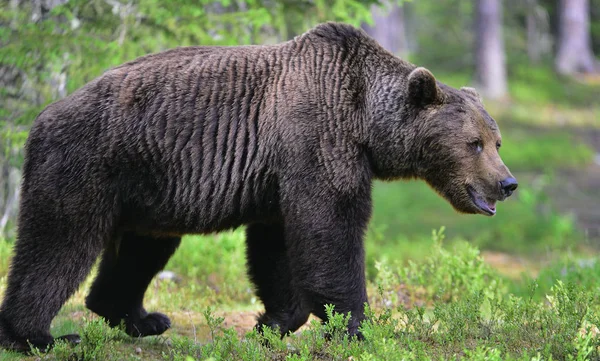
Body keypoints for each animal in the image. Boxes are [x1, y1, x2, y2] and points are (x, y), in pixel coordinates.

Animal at [0, 21, 516, 350]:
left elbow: (279, 247)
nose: (506, 183)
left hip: (147, 188)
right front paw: (355, 325)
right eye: (473, 143)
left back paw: (143, 317)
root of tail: (42, 117)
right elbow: (330, 231)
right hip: (88, 163)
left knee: (142, 249)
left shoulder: (278, 175)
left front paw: (273, 321)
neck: (364, 122)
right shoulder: (317, 139)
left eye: (496, 140)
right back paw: (37, 335)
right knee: (59, 242)